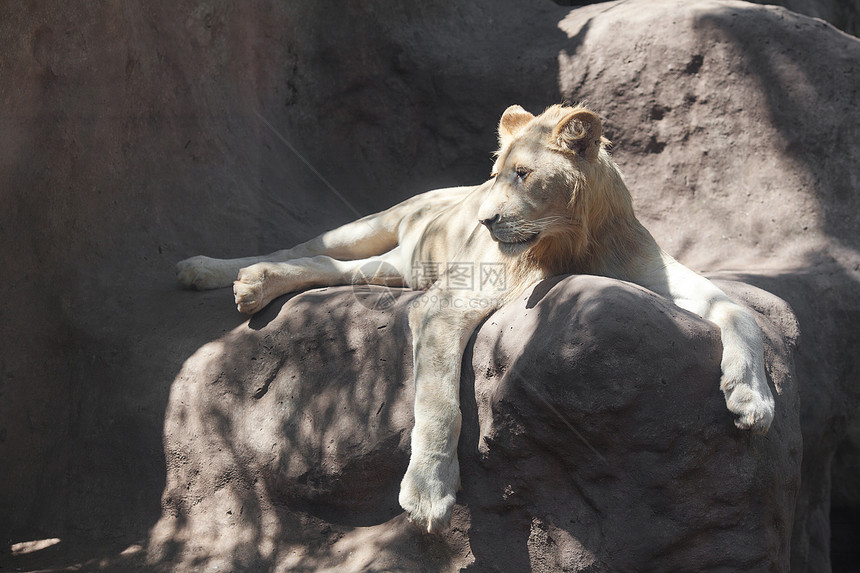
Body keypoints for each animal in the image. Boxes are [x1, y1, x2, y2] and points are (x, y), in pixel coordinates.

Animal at [178, 103, 776, 532]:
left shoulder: (651, 268)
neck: (569, 241)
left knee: (330, 267)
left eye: (524, 174)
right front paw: (428, 492)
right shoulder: (444, 304)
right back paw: (209, 270)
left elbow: (737, 308)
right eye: (496, 175)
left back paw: (254, 285)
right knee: (309, 245)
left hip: (398, 269)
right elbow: (439, 401)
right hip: (379, 231)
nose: (485, 220)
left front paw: (751, 398)